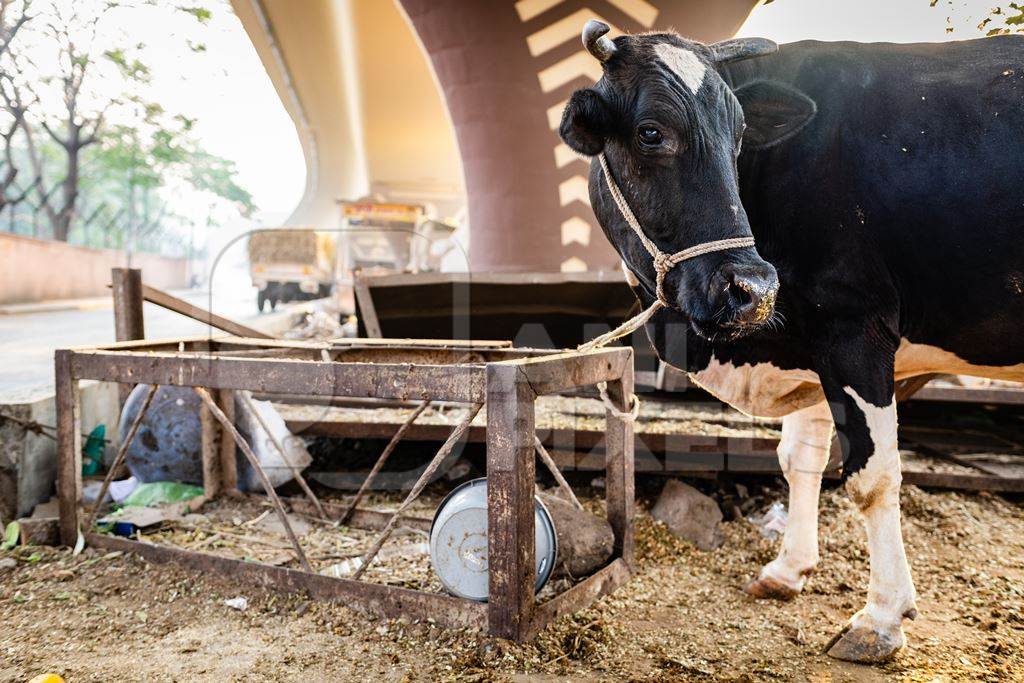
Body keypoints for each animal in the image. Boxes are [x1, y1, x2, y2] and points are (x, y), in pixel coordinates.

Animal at [561, 20, 1024, 663]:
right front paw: (789, 569)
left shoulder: (854, 328)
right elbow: (800, 458)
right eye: (651, 132)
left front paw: (881, 619)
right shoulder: (812, 345)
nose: (752, 287)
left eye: (738, 137)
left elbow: (872, 477)